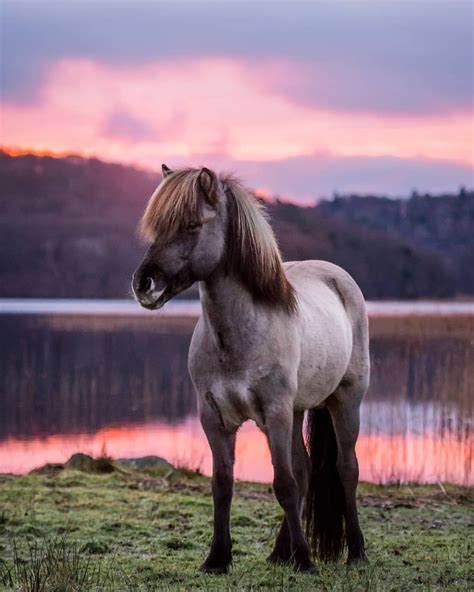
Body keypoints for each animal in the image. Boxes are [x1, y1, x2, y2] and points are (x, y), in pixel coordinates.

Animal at [131, 165, 370, 572]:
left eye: (191, 225)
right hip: (297, 410)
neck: (239, 335)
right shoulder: (214, 417)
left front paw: (305, 560)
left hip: (344, 401)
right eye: (157, 227)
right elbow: (223, 484)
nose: (144, 284)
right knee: (305, 469)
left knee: (345, 469)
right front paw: (217, 558)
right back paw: (279, 552)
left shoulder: (274, 412)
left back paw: (355, 552)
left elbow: (284, 484)